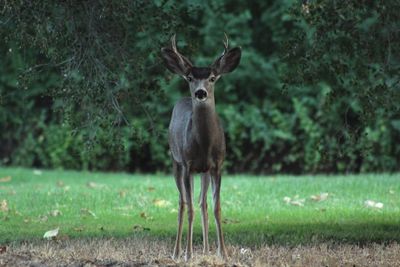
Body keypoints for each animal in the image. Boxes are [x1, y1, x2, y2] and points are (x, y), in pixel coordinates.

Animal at [161, 34, 242, 262]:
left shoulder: (217, 166)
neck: (204, 146)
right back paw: (177, 252)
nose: (200, 92)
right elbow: (189, 209)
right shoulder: (188, 165)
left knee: (202, 203)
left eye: (213, 78)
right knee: (182, 203)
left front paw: (223, 253)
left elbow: (216, 207)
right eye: (189, 78)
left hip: (203, 172)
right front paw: (188, 254)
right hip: (175, 162)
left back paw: (205, 250)